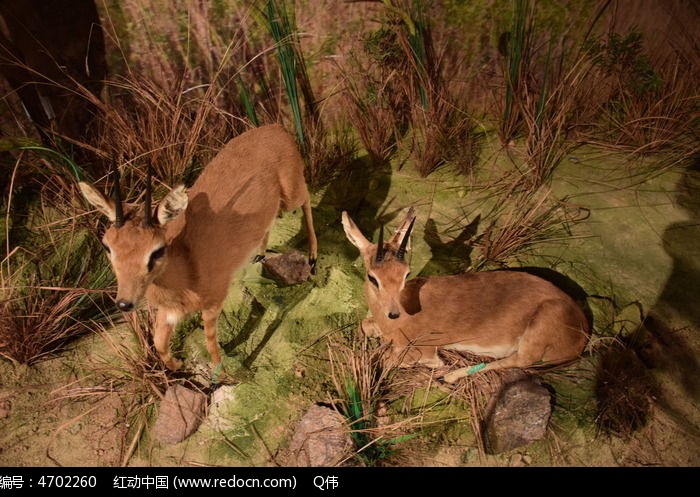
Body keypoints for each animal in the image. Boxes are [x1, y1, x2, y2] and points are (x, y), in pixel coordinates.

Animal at [79, 124, 318, 372]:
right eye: (107, 246)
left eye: (157, 250)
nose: (124, 303)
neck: (186, 266)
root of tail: (276, 127)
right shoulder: (170, 312)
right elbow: (159, 342)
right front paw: (177, 364)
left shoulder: (214, 302)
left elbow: (211, 342)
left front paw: (222, 371)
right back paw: (260, 255)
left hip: (291, 194)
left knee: (307, 197)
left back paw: (313, 259)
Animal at [342, 207, 588, 382]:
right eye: (373, 277)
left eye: (406, 274)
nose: (394, 313)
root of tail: (583, 333)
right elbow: (363, 326)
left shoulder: (422, 350)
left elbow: (386, 359)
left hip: (538, 332)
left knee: (517, 361)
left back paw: (449, 377)